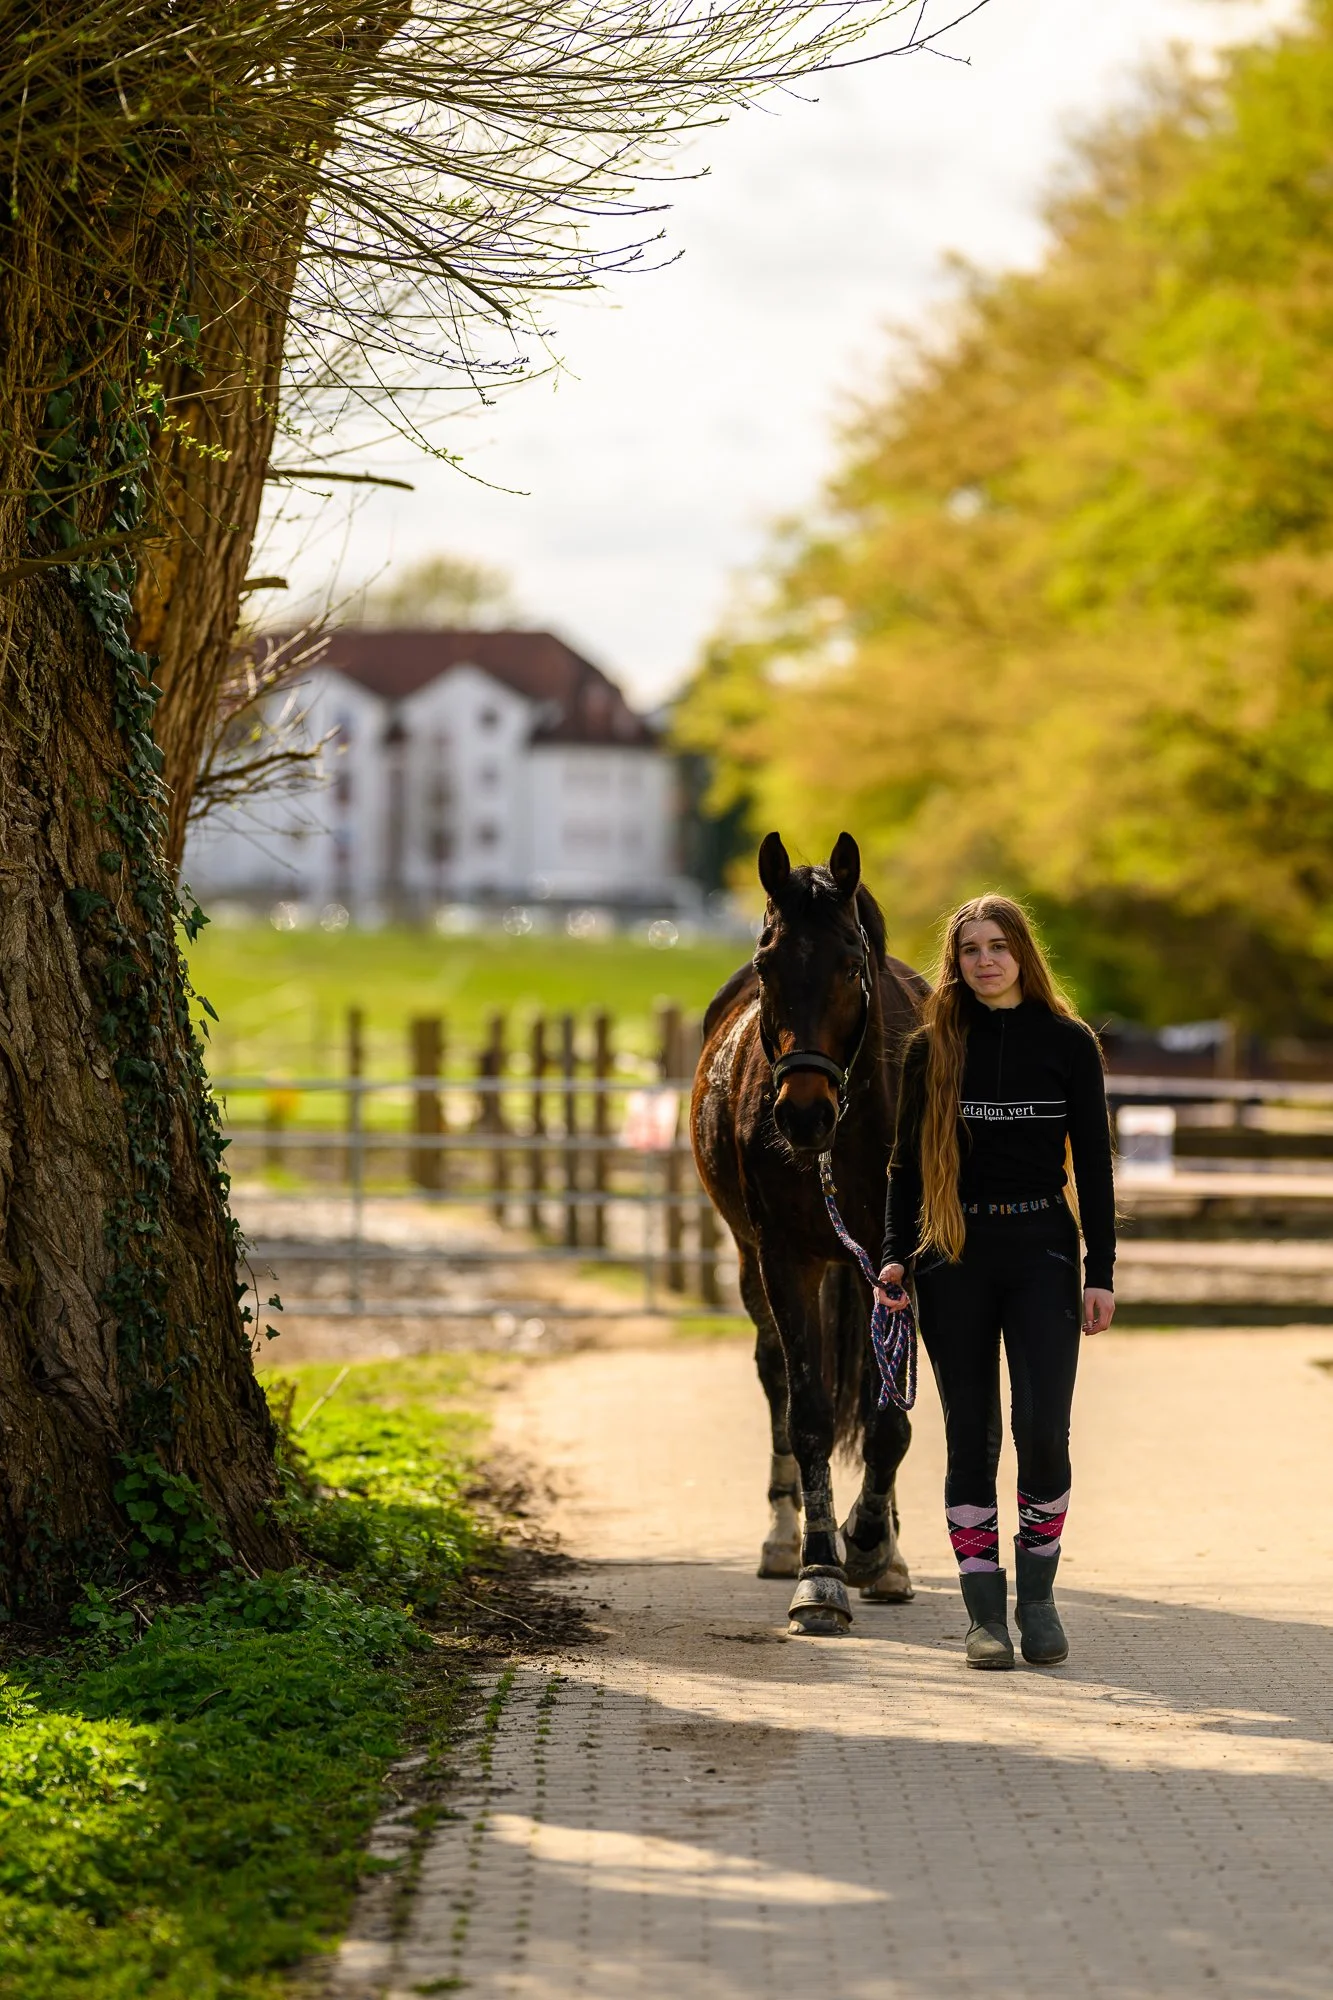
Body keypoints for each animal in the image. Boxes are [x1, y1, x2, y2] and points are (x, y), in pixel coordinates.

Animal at [690, 831, 929, 1635]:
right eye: (768, 964)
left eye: (851, 966)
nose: (801, 1114)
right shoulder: (785, 1258)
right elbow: (811, 1413)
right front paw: (820, 1574)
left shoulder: (906, 1267)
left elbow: (889, 1420)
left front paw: (871, 1544)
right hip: (752, 1260)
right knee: (776, 1375)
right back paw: (781, 1538)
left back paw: (887, 1551)